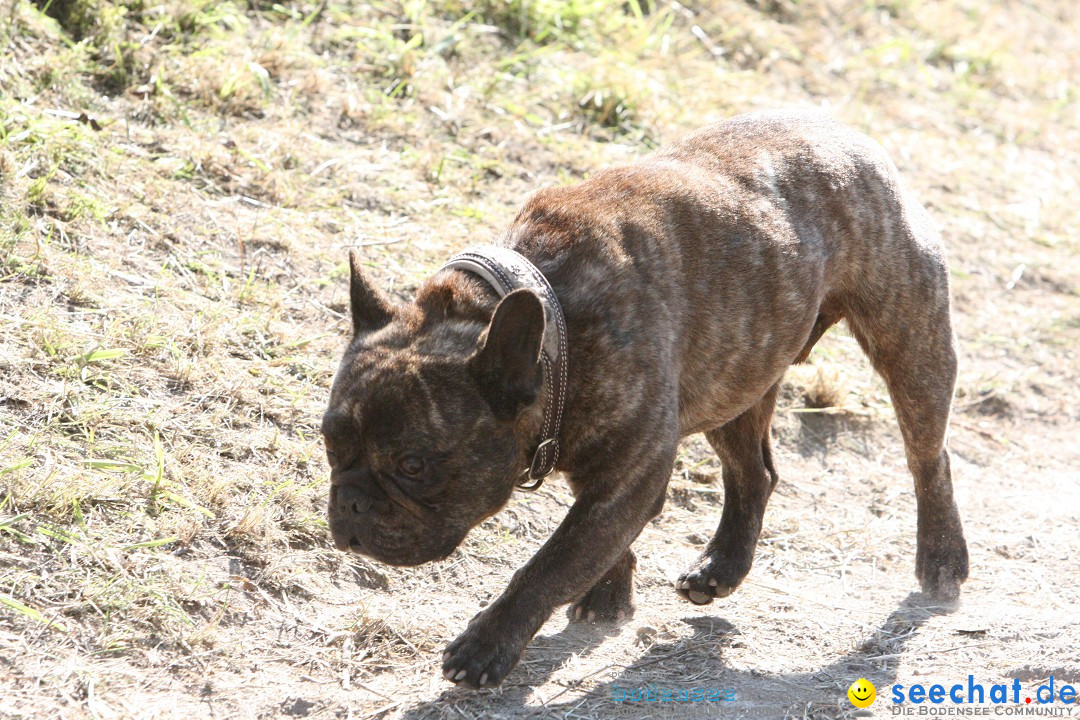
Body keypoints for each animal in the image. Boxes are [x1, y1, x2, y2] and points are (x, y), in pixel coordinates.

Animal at [319, 110, 972, 690]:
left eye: (413, 465)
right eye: (329, 446)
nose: (349, 503)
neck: (552, 321)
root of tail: (850, 132)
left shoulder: (627, 476)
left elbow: (551, 561)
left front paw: (487, 645)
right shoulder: (606, 470)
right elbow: (598, 545)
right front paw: (609, 597)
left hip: (909, 342)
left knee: (928, 456)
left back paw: (942, 560)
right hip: (738, 379)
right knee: (753, 473)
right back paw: (721, 568)